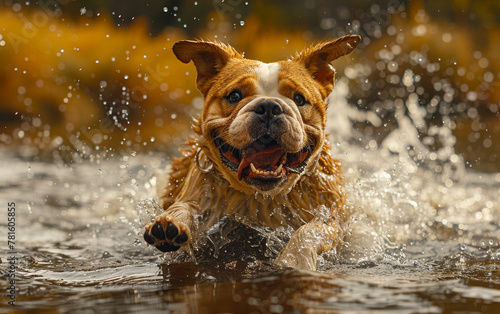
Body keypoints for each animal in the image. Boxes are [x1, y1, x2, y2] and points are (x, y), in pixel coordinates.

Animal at [143, 36, 362, 270]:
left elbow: (311, 230)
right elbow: (184, 206)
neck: (259, 197)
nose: (269, 106)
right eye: (234, 96)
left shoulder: (330, 218)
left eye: (299, 99)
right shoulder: (199, 193)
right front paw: (170, 222)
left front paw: (294, 259)